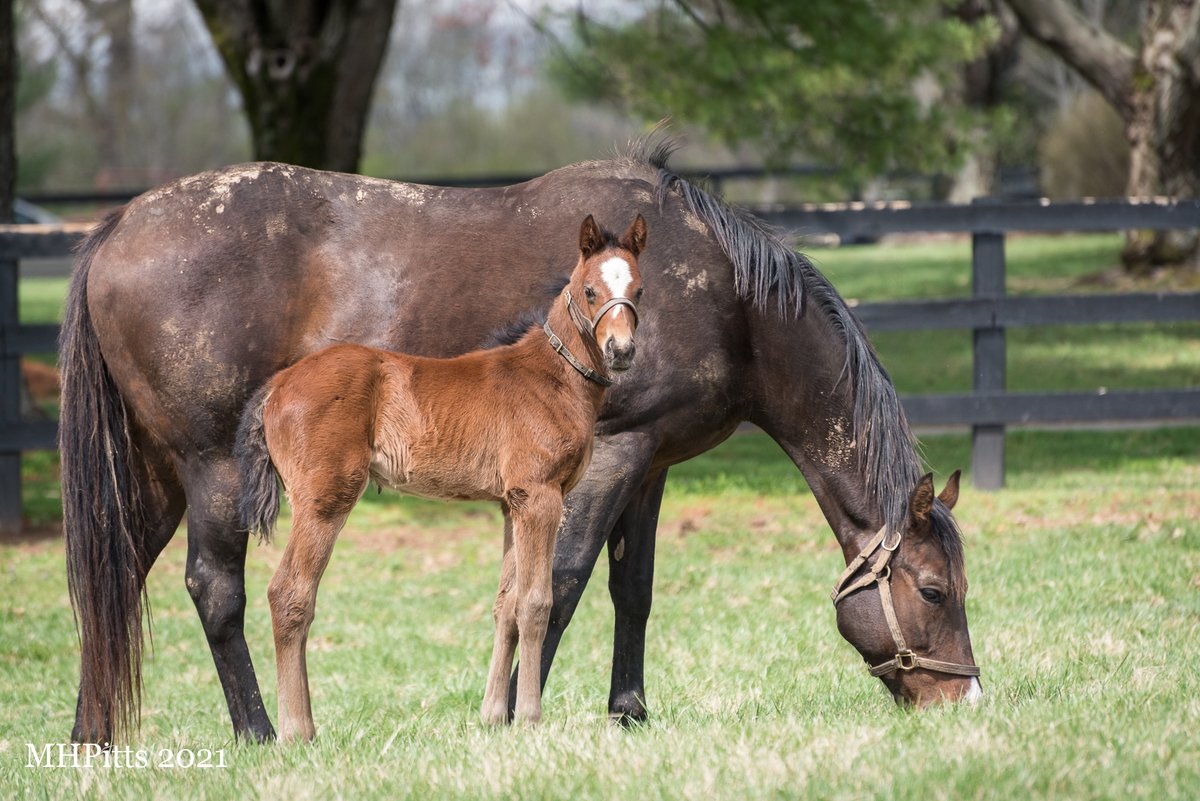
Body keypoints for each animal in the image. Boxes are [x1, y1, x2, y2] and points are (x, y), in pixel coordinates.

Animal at [236, 212, 648, 738]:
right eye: (591, 290)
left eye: (638, 290)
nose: (621, 350)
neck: (552, 378)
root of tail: (277, 386)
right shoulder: (541, 497)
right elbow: (536, 602)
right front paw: (529, 717)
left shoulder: (512, 503)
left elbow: (506, 605)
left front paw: (493, 716)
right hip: (324, 498)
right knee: (289, 594)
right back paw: (298, 731)